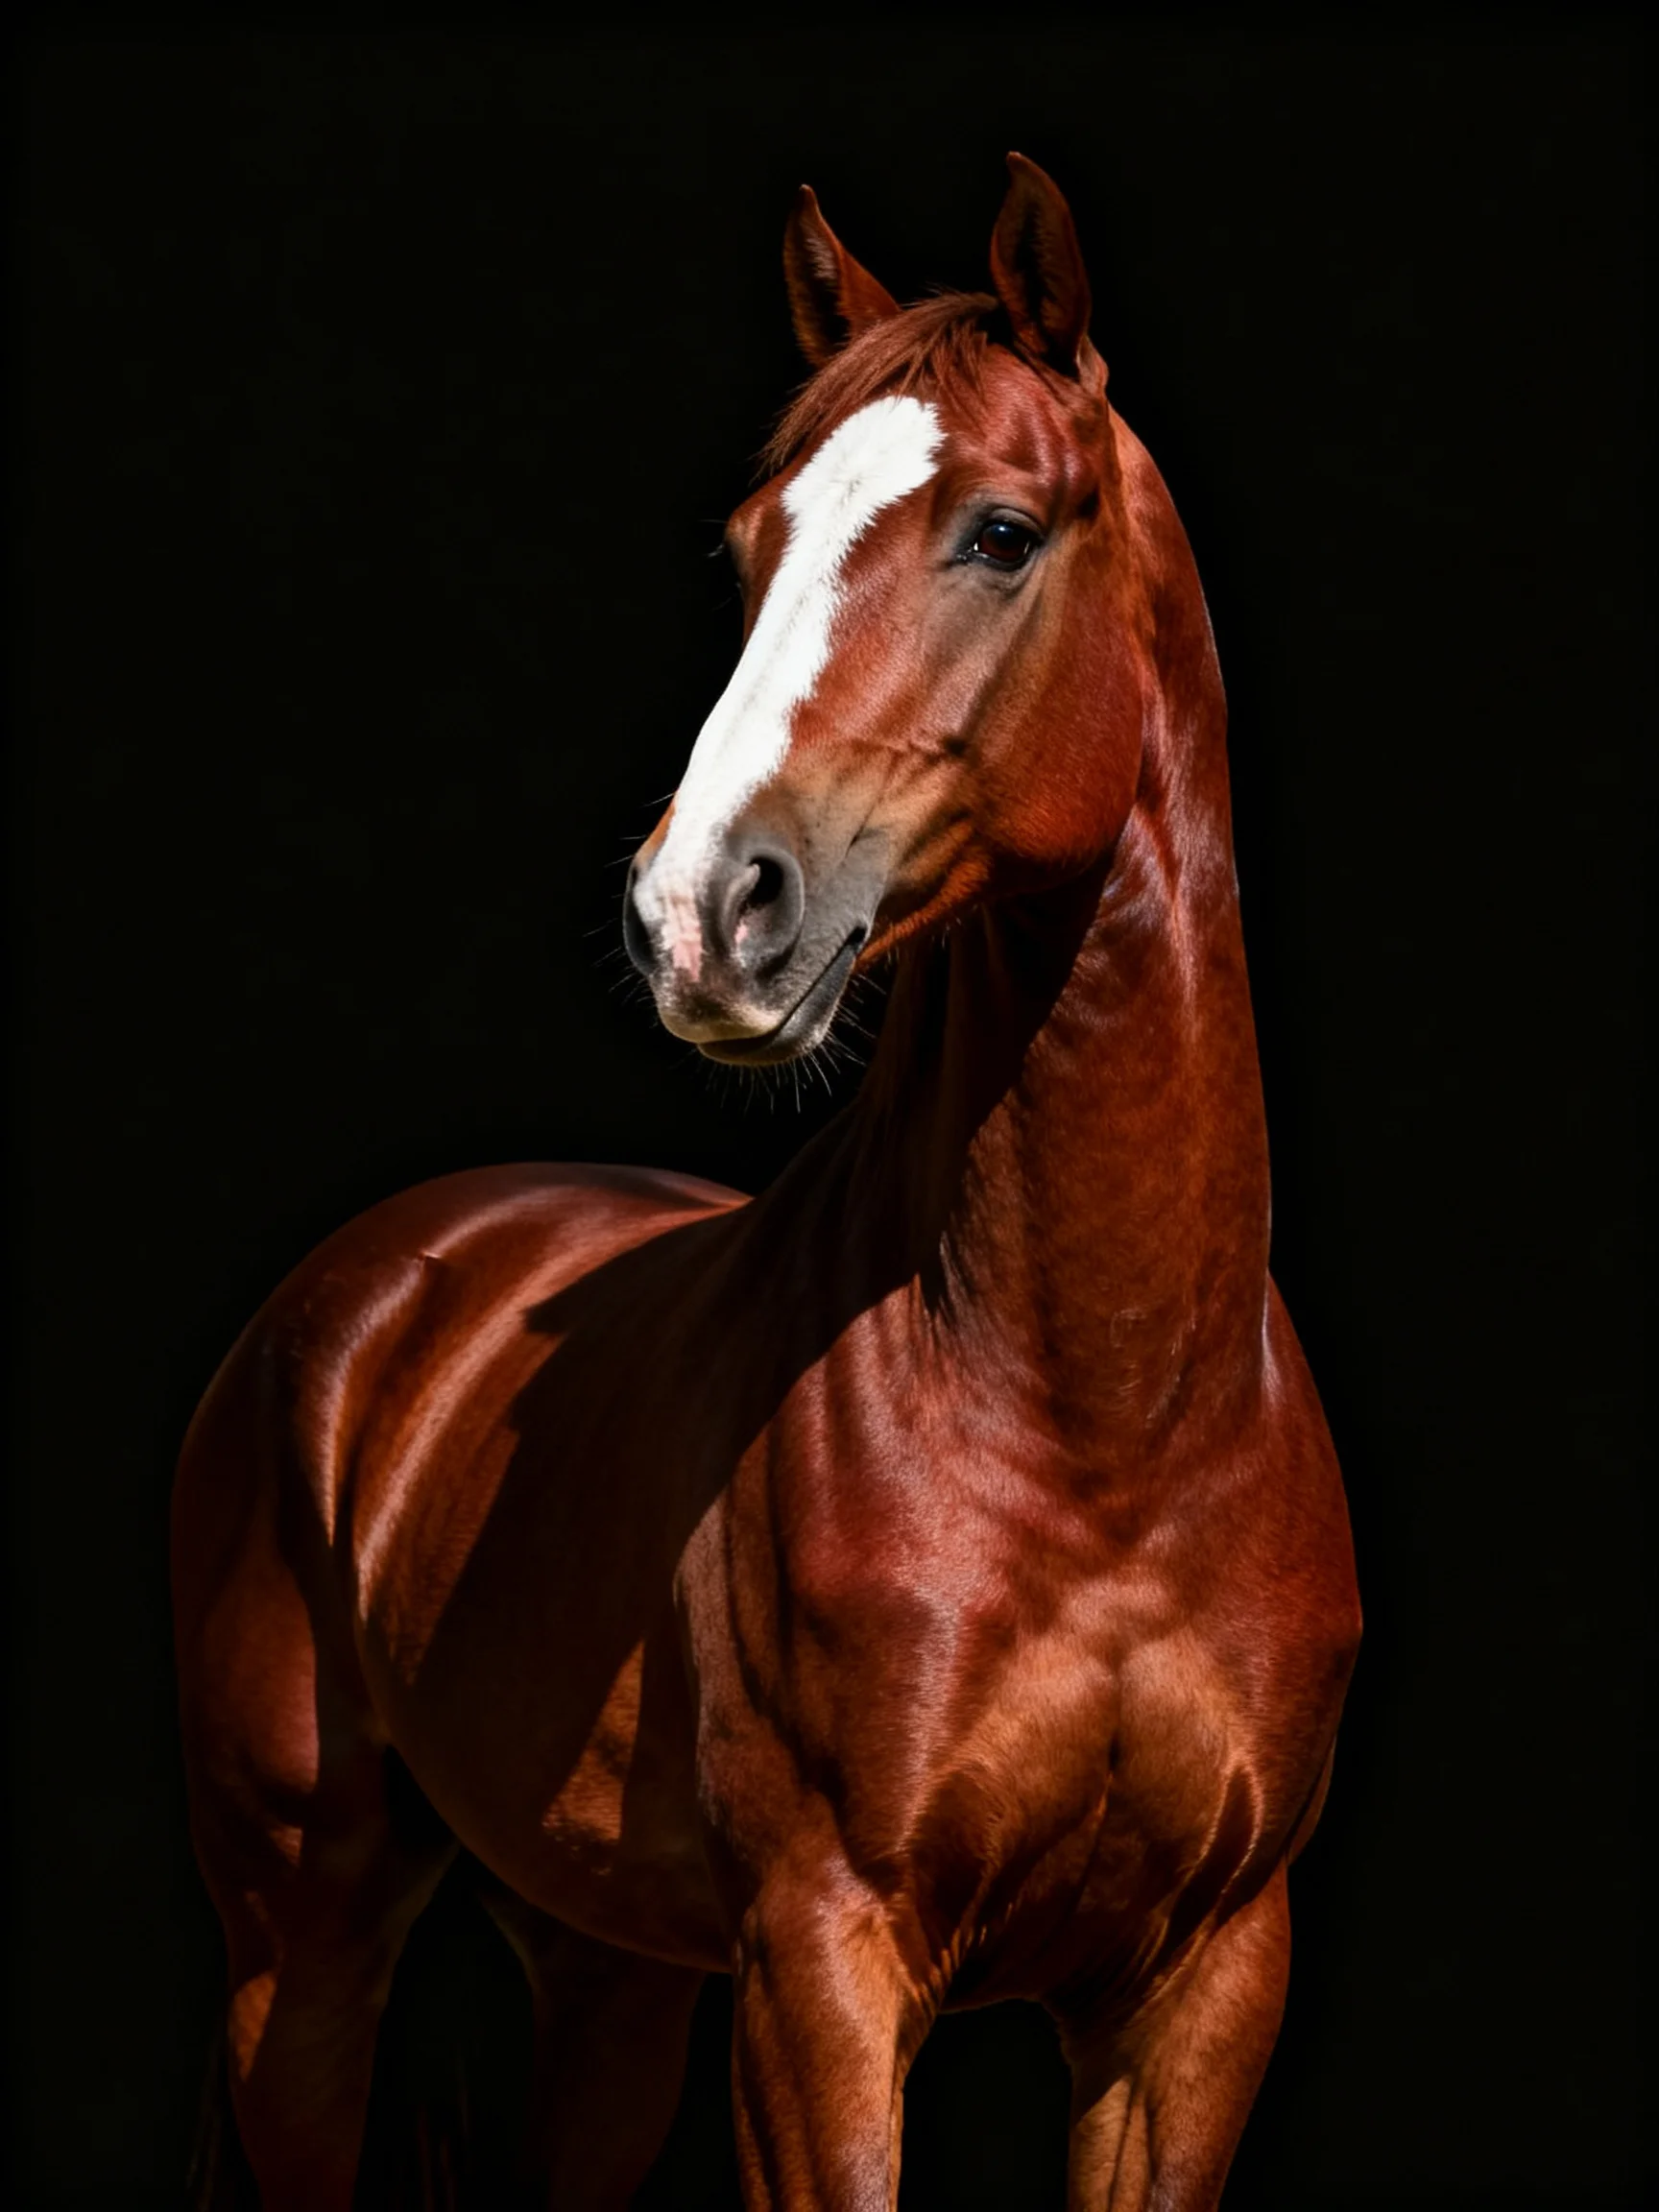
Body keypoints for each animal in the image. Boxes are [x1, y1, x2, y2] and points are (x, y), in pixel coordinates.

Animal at [173, 154, 1360, 2210]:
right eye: (749, 549)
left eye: (998, 531)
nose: (697, 907)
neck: (1108, 1417)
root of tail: (374, 1282)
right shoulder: (822, 1966)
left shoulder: (1198, 1989)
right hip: (297, 1942)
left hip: (609, 1972)